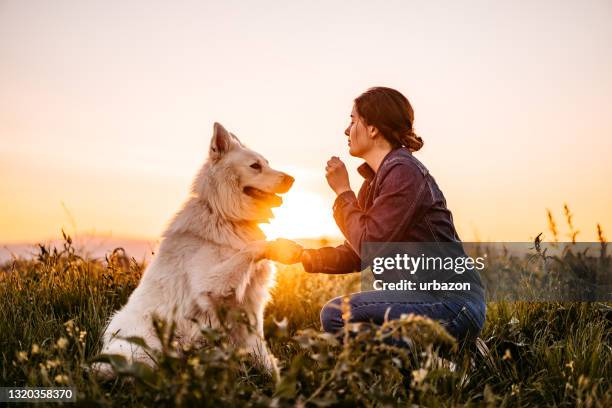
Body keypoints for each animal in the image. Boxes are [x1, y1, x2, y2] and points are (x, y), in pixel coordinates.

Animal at [95, 123, 294, 380]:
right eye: (255, 166)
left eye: (267, 163)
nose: (292, 179)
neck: (224, 216)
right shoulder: (210, 286)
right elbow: (249, 250)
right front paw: (278, 245)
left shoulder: (251, 304)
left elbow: (261, 350)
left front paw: (274, 378)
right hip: (147, 347)